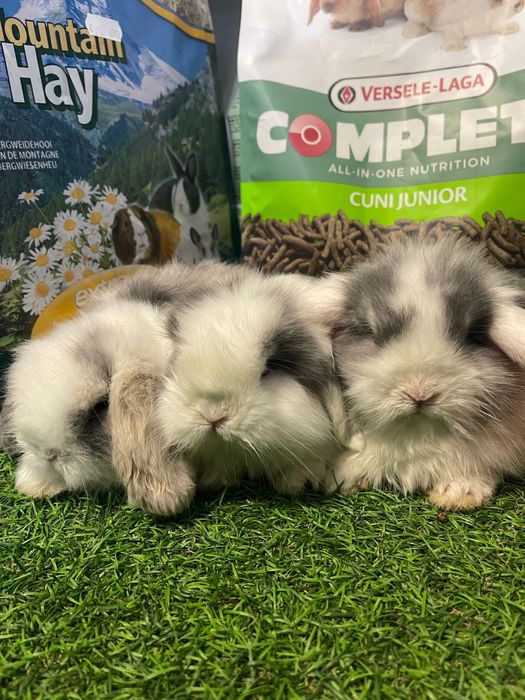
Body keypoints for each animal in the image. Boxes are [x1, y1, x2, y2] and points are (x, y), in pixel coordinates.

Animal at [325, 237, 525, 510]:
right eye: (372, 332)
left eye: (473, 337)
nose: (419, 393)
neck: (416, 434)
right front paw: (340, 477)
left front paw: (457, 494)